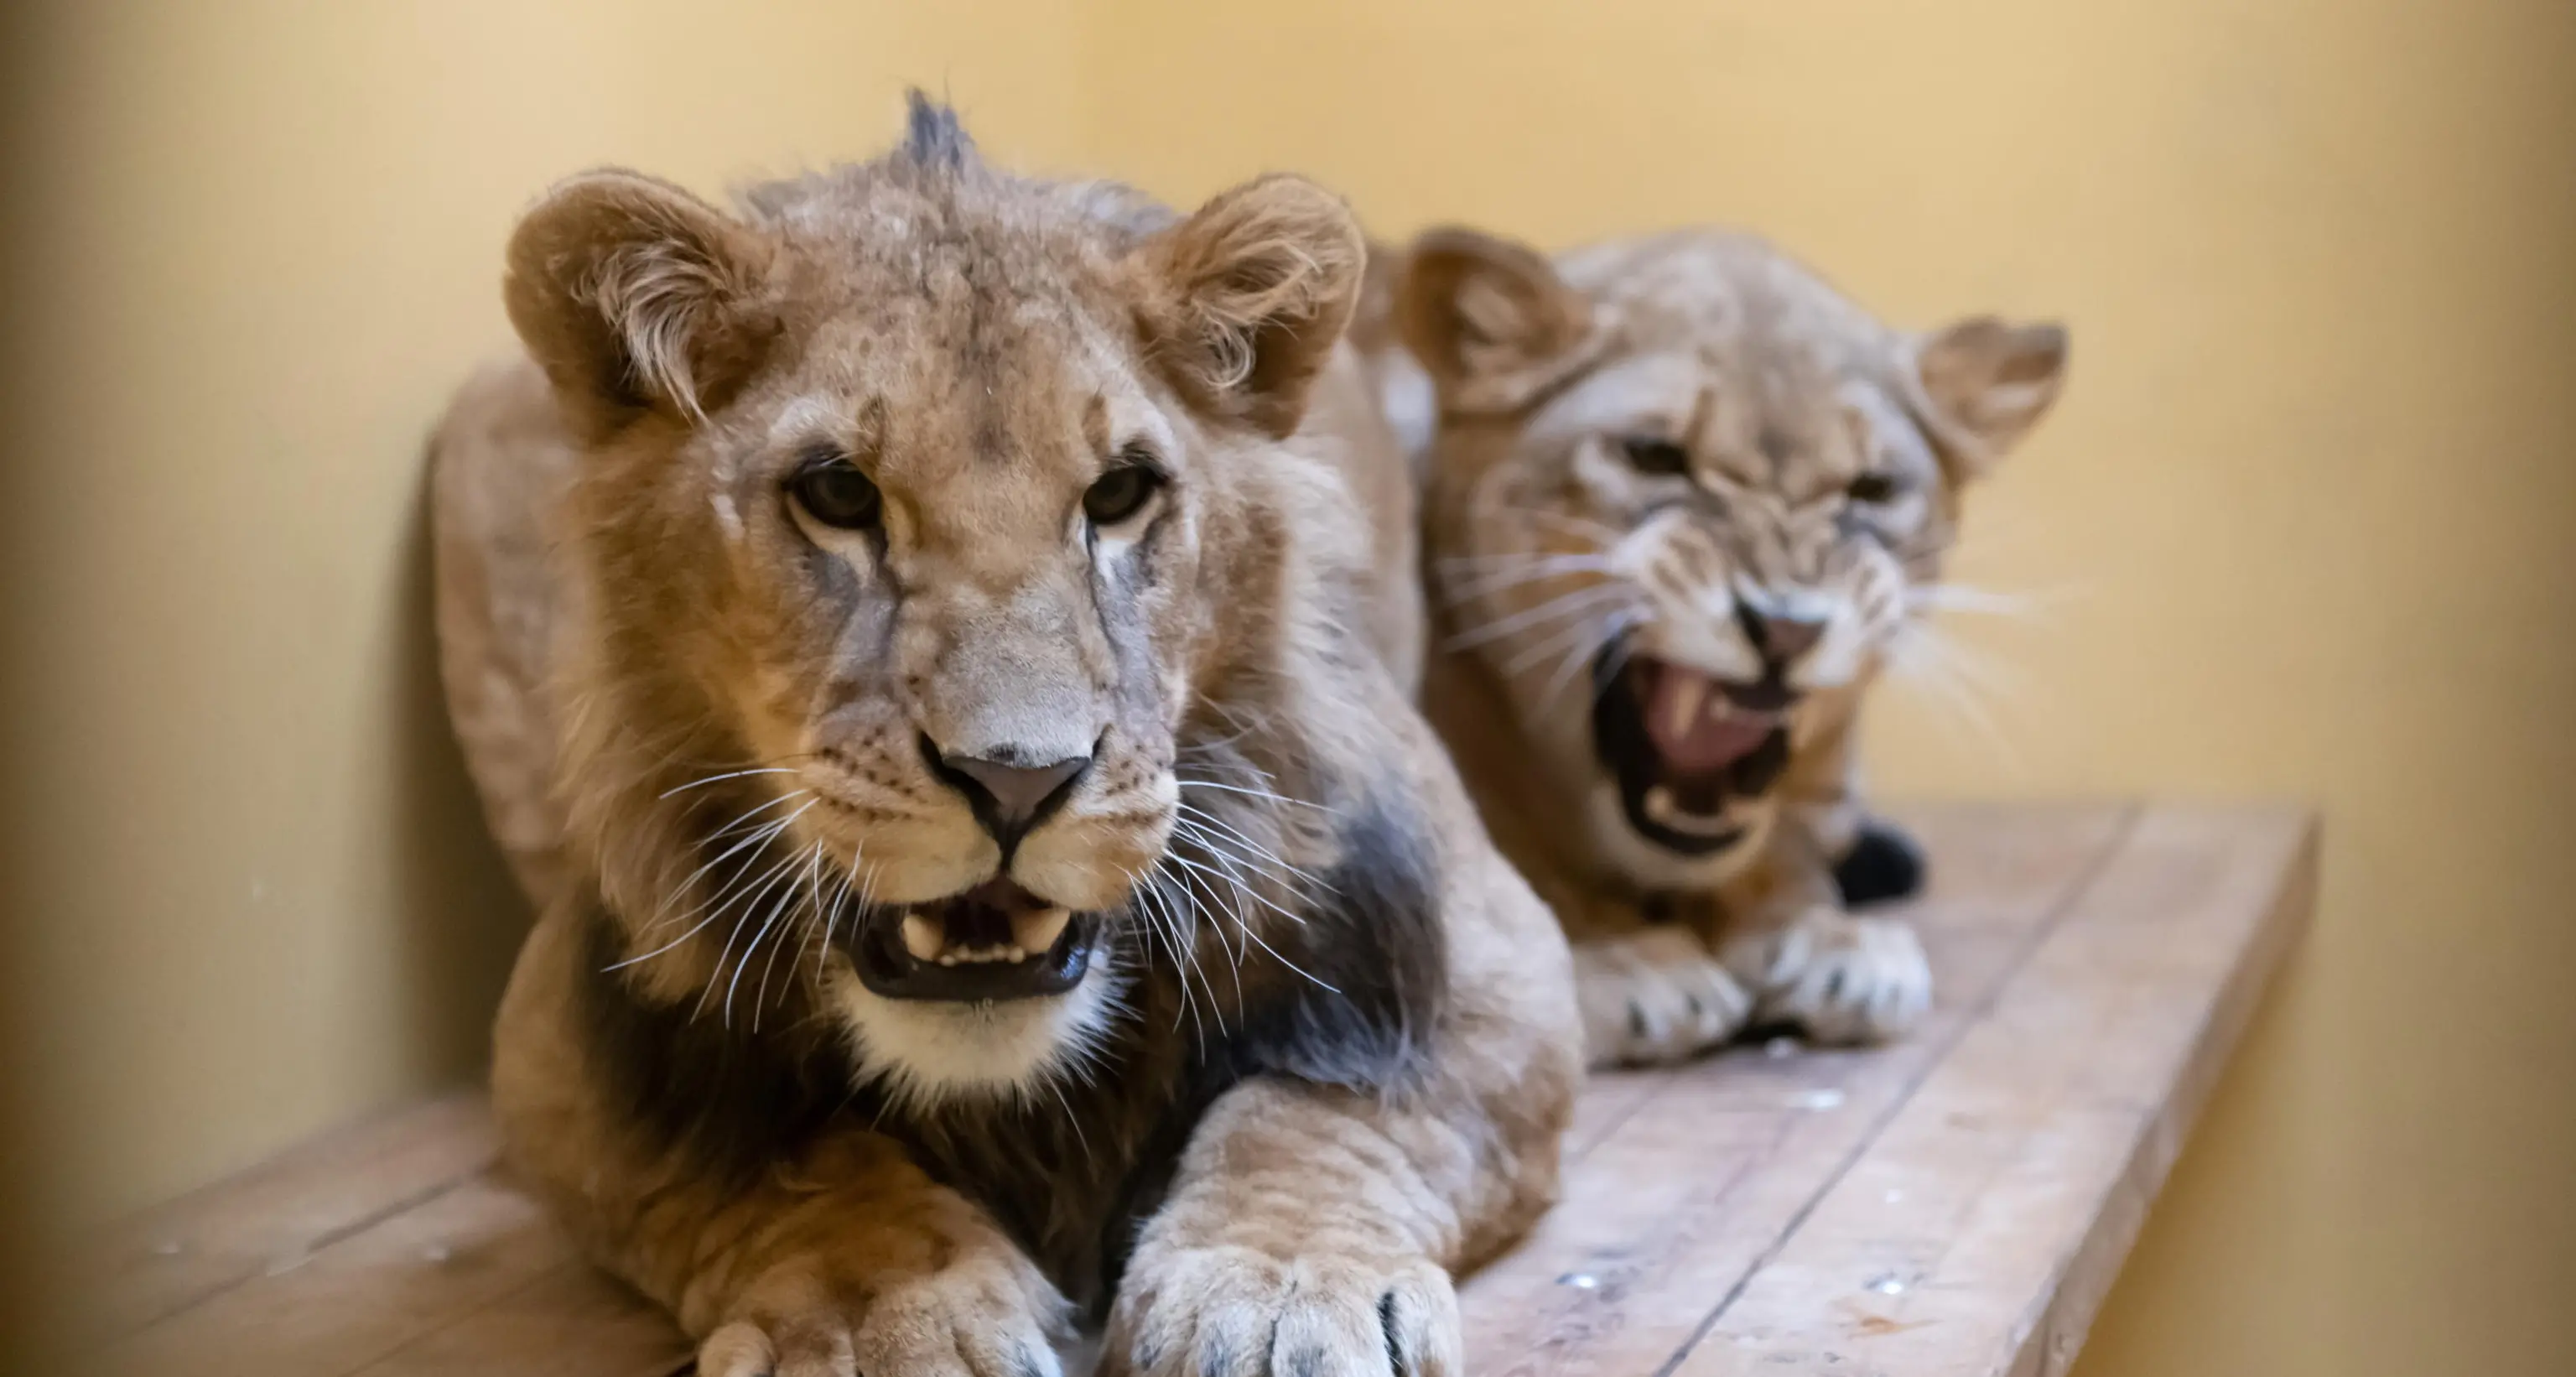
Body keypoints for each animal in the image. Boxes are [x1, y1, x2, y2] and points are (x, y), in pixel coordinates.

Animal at [430, 98, 1580, 1377]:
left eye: (1120, 493)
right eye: (836, 494)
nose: (1016, 783)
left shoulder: (1486, 956)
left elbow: (1319, 1106)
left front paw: (1276, 1293)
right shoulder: (565, 1045)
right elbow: (794, 1163)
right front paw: (879, 1318)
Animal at [1382, 226, 2066, 1066]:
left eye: (1873, 488)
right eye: (1652, 455)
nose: (1787, 626)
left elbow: (1790, 860)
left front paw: (1830, 944)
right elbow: (1501, 858)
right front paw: (1622, 961)